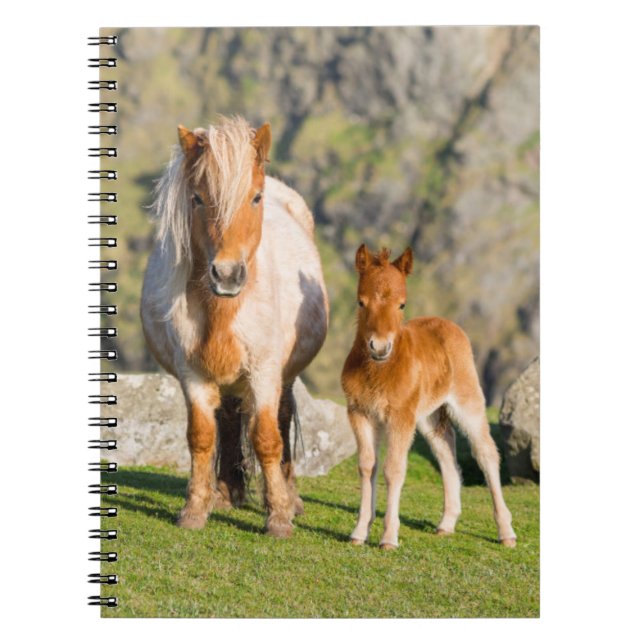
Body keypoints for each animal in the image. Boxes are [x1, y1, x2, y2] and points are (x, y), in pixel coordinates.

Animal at [141, 116, 328, 537]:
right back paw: (228, 492)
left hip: (283, 376)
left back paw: (290, 499)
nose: (227, 275)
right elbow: (201, 437)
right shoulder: (192, 374)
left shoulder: (264, 372)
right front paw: (195, 510)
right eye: (196, 199)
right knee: (227, 419)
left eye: (255, 198)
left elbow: (267, 438)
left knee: (282, 420)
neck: (224, 309)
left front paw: (278, 517)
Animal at [341, 244, 516, 549]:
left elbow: (394, 469)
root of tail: (449, 324)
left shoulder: (400, 417)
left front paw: (389, 538)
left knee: (486, 453)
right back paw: (446, 523)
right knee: (446, 451)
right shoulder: (360, 413)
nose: (379, 347)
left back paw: (506, 532)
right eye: (361, 302)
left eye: (402, 304)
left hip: (467, 402)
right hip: (428, 415)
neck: (380, 371)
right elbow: (367, 466)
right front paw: (359, 532)